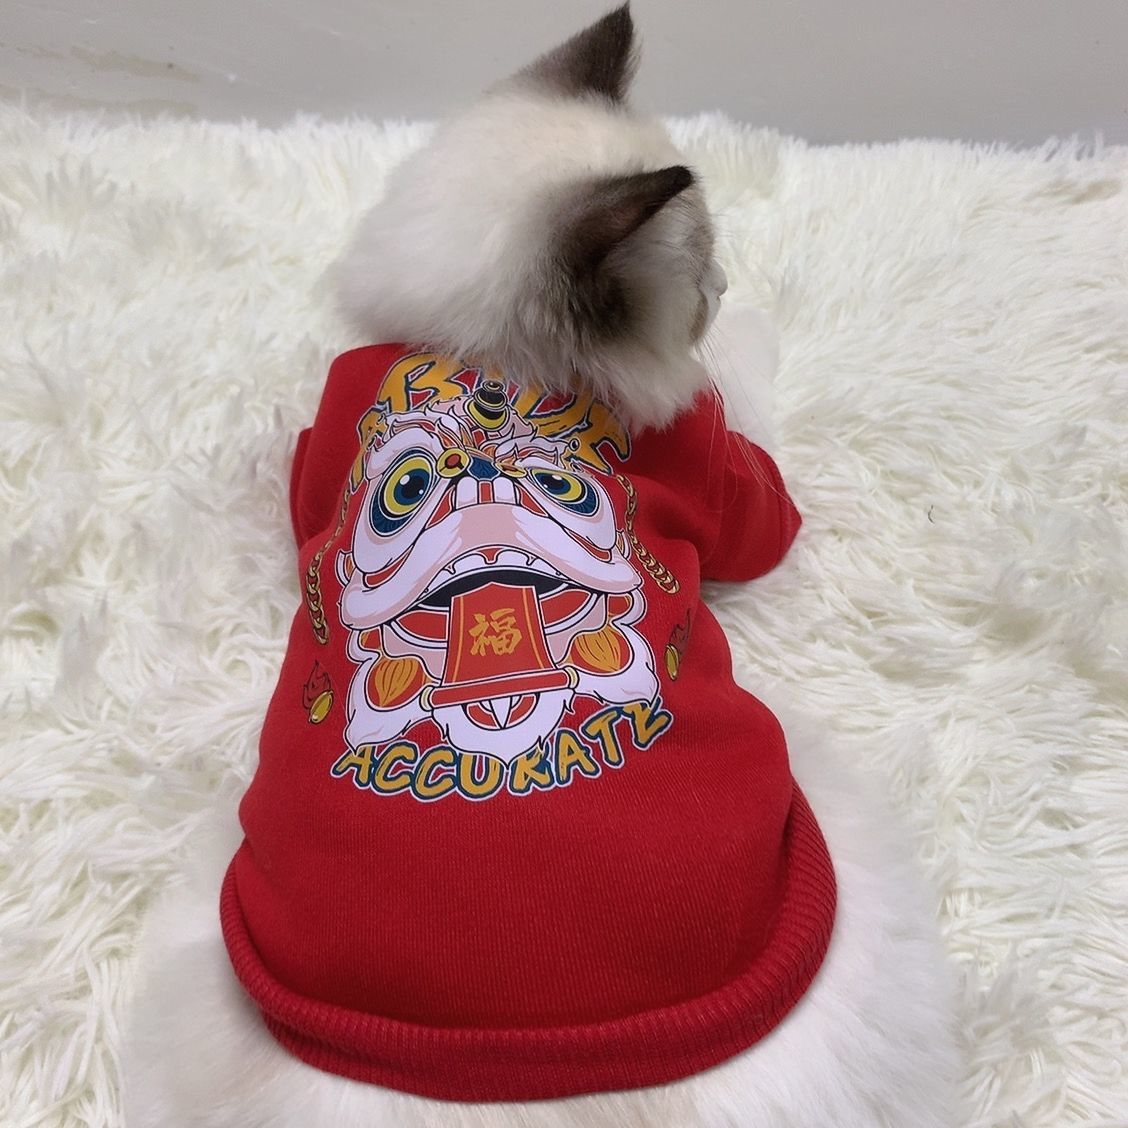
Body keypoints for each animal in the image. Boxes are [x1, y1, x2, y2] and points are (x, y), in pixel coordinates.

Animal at [121, 7, 961, 1126]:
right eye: (703, 274)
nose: (726, 287)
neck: (477, 350)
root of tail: (544, 1078)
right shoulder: (731, 477)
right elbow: (741, 409)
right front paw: (744, 335)